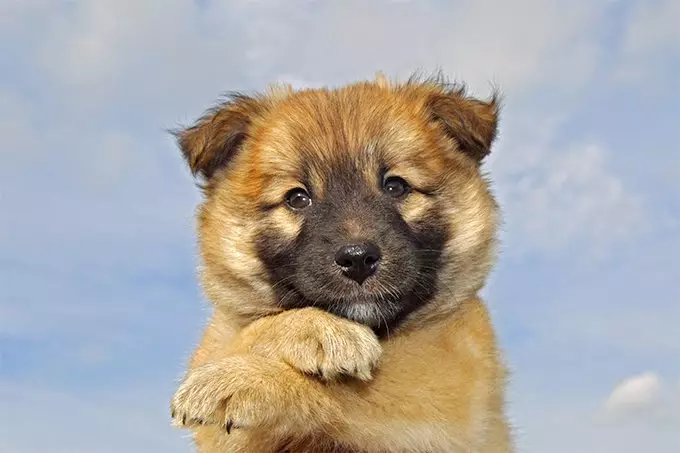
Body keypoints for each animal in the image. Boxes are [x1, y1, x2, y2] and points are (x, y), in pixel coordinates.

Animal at [171, 72, 516, 450]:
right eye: (297, 198)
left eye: (396, 187)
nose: (358, 260)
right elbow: (234, 337)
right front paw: (320, 331)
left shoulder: (443, 390)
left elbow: (343, 391)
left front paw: (241, 380)